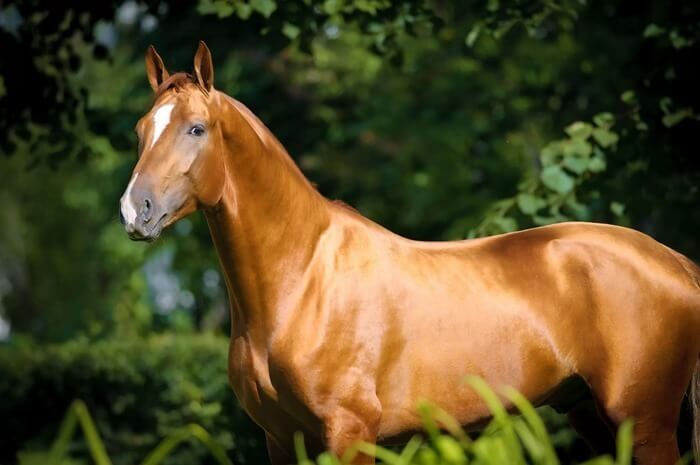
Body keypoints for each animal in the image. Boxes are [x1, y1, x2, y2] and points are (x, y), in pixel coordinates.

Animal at [119, 41, 700, 465]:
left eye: (196, 129)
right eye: (142, 130)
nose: (134, 211)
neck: (300, 283)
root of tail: (676, 261)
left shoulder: (349, 432)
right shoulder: (281, 440)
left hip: (644, 425)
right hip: (592, 417)